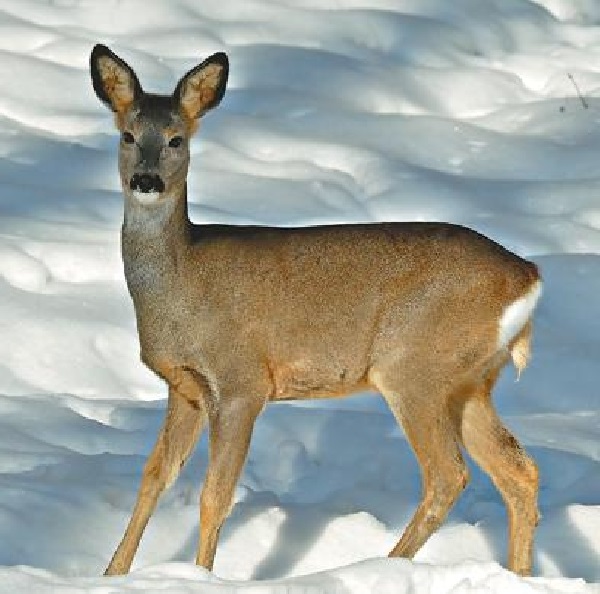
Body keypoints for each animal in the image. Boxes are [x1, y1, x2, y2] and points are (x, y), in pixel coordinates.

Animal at [90, 42, 544, 580]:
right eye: (127, 135)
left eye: (176, 139)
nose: (146, 180)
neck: (181, 284)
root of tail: (527, 275)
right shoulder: (186, 387)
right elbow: (153, 477)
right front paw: (110, 575)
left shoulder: (242, 380)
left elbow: (214, 496)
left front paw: (200, 577)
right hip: (470, 380)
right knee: (519, 470)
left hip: (414, 366)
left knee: (448, 475)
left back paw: (379, 567)